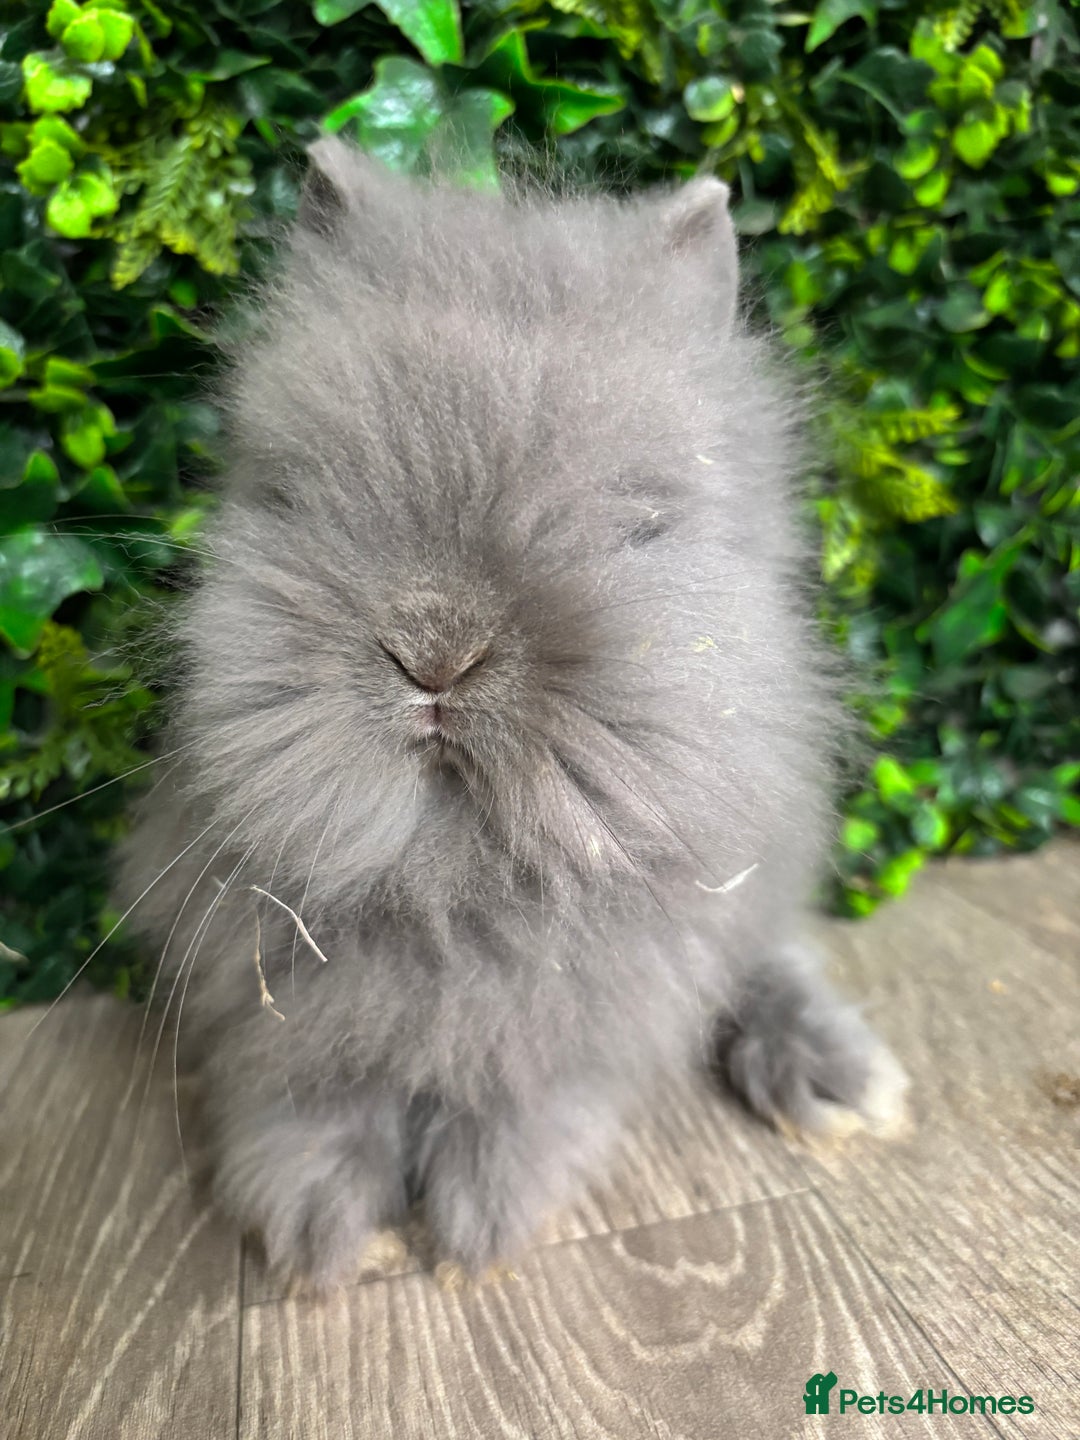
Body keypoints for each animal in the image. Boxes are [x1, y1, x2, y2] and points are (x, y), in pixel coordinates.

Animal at [116, 138, 907, 1291]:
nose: (435, 651)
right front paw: (319, 1228)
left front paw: (481, 1219)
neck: (452, 887)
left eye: (640, 524)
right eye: (294, 494)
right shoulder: (279, 1008)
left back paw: (842, 1085)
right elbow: (310, 1097)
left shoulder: (584, 1026)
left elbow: (528, 1102)